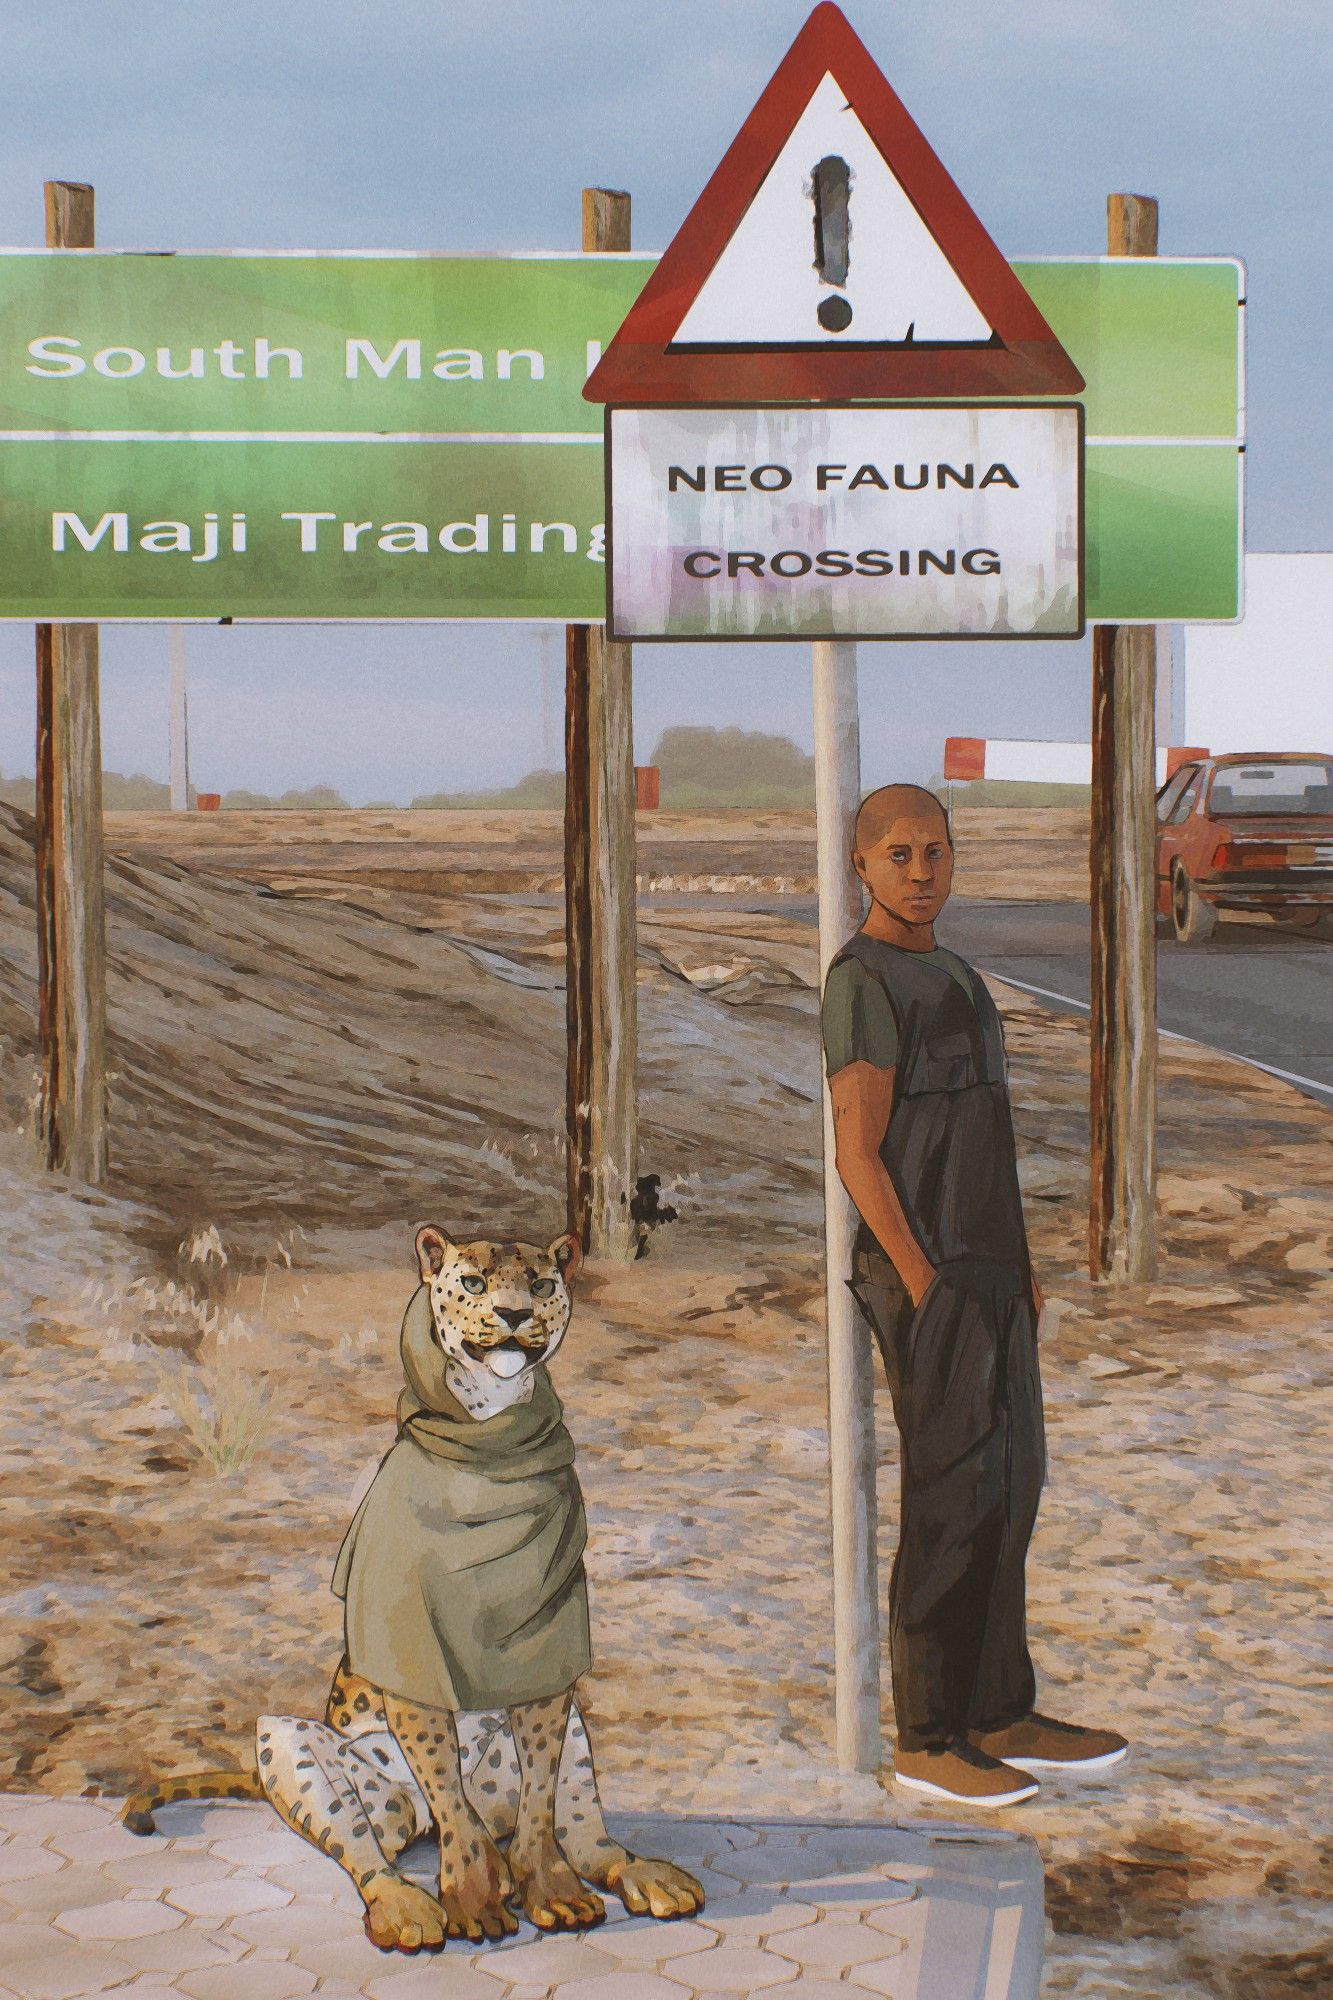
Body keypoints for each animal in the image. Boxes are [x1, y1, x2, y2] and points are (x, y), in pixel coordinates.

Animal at [123, 1224, 700, 1944]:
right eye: (474, 1282)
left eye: (540, 1283)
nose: (514, 1315)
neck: (488, 1438)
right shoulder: (409, 1656)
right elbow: (446, 1791)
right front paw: (476, 1897)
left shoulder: (547, 1663)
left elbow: (540, 1800)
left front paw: (546, 1889)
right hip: (300, 1748)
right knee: (370, 1845)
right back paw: (406, 1908)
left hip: (566, 1738)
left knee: (583, 1832)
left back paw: (643, 1873)